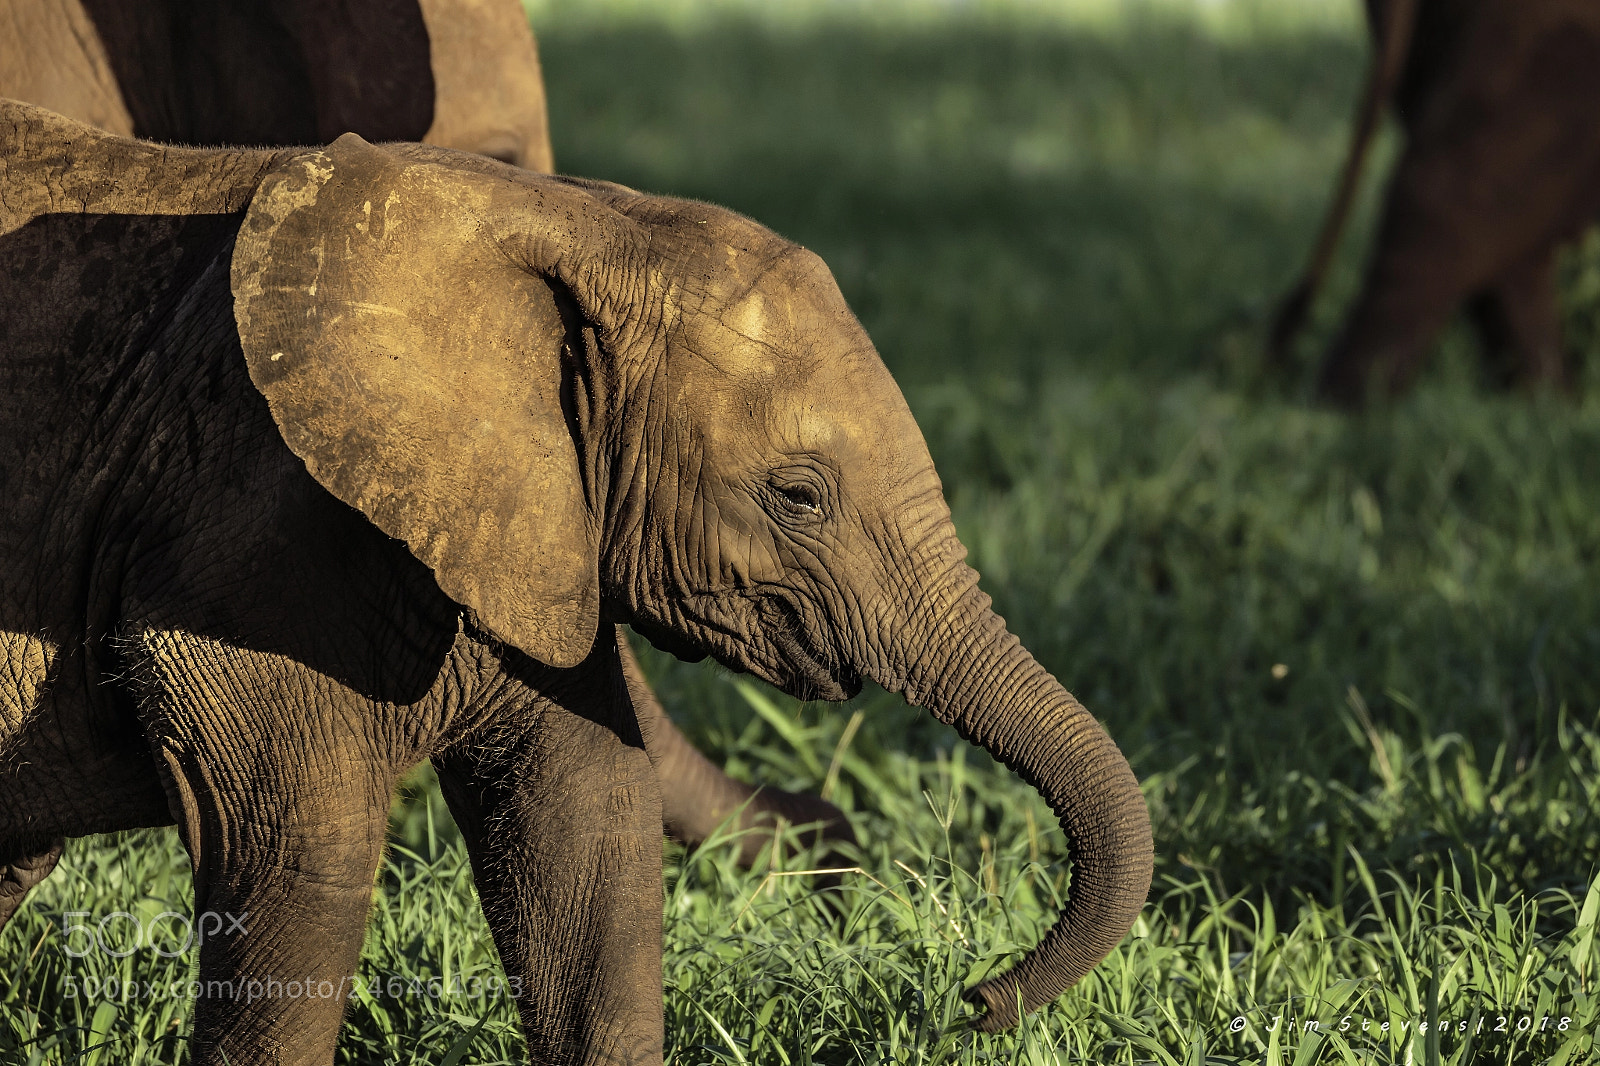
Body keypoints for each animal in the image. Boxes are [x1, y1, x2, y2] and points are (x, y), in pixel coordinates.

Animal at [0, 99, 1153, 1064]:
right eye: (798, 496)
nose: (970, 997)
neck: (572, 220)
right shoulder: (245, 527)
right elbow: (297, 852)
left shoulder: (524, 522)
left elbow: (587, 830)